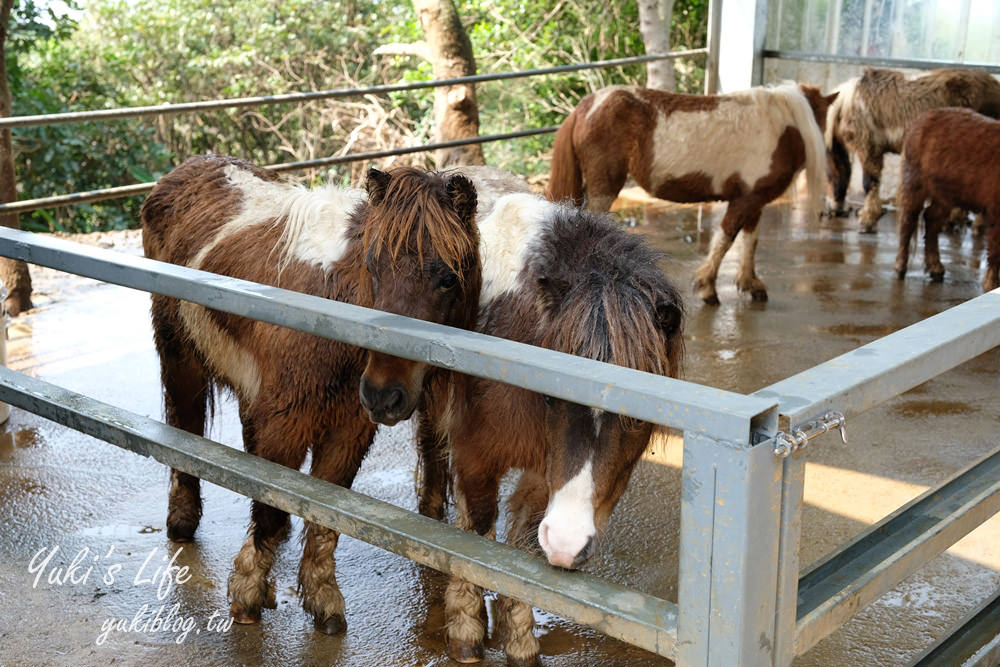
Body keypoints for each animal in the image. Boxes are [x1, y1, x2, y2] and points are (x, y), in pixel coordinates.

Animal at [141, 154, 480, 636]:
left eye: (449, 279)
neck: (330, 310)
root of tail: (187, 168)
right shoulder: (286, 422)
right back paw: (181, 522)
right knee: (183, 426)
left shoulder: (347, 430)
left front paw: (322, 600)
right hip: (180, 360)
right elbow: (269, 508)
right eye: (372, 268)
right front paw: (247, 594)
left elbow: (325, 519)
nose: (384, 395)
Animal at [402, 189, 684, 667]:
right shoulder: (475, 457)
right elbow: (476, 537)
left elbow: (521, 549)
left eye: (636, 416)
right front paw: (466, 631)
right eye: (553, 398)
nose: (569, 545)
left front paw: (518, 638)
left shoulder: (543, 472)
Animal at [548, 80, 836, 306]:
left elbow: (750, 241)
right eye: (824, 119)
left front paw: (749, 283)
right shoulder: (745, 201)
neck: (780, 128)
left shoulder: (757, 202)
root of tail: (586, 106)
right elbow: (725, 239)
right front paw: (707, 287)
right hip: (604, 188)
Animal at [824, 68, 1000, 230]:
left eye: (828, 176)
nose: (833, 209)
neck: (848, 102)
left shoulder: (869, 148)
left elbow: (870, 183)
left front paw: (868, 219)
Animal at [896, 107, 1000, 290]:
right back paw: (901, 267)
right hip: (914, 182)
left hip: (945, 194)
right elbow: (996, 250)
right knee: (908, 221)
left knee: (931, 219)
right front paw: (991, 284)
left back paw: (936, 268)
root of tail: (925, 116)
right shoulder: (995, 209)